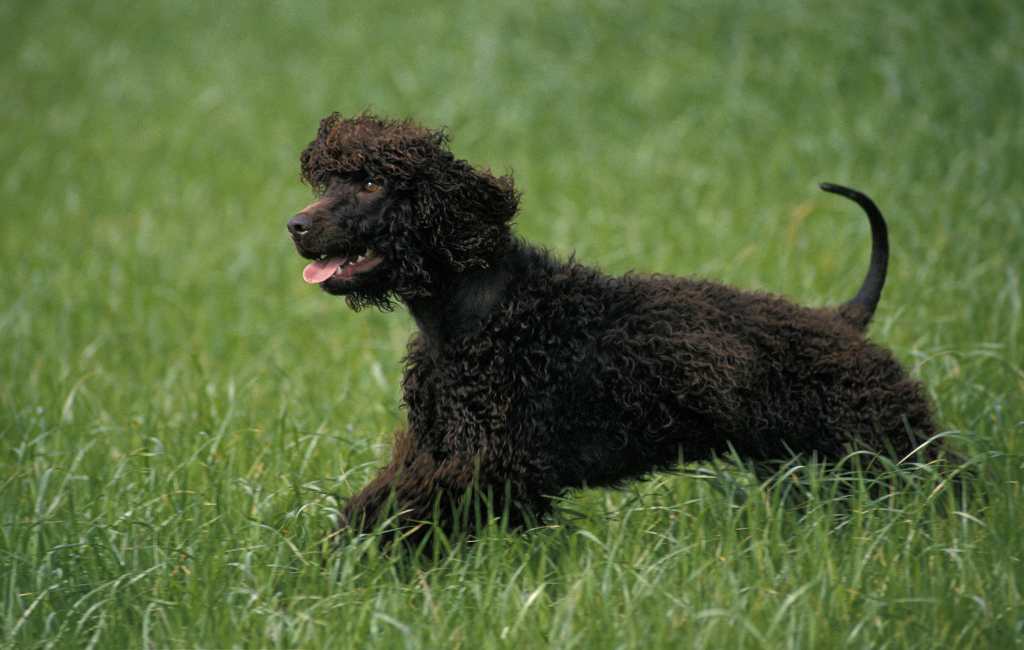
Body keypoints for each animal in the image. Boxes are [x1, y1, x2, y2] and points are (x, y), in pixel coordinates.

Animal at [286, 113, 937, 544]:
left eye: (373, 183)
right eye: (328, 183)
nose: (295, 224)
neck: (477, 313)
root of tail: (841, 318)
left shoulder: (494, 465)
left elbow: (410, 510)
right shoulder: (437, 447)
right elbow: (376, 504)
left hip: (888, 440)